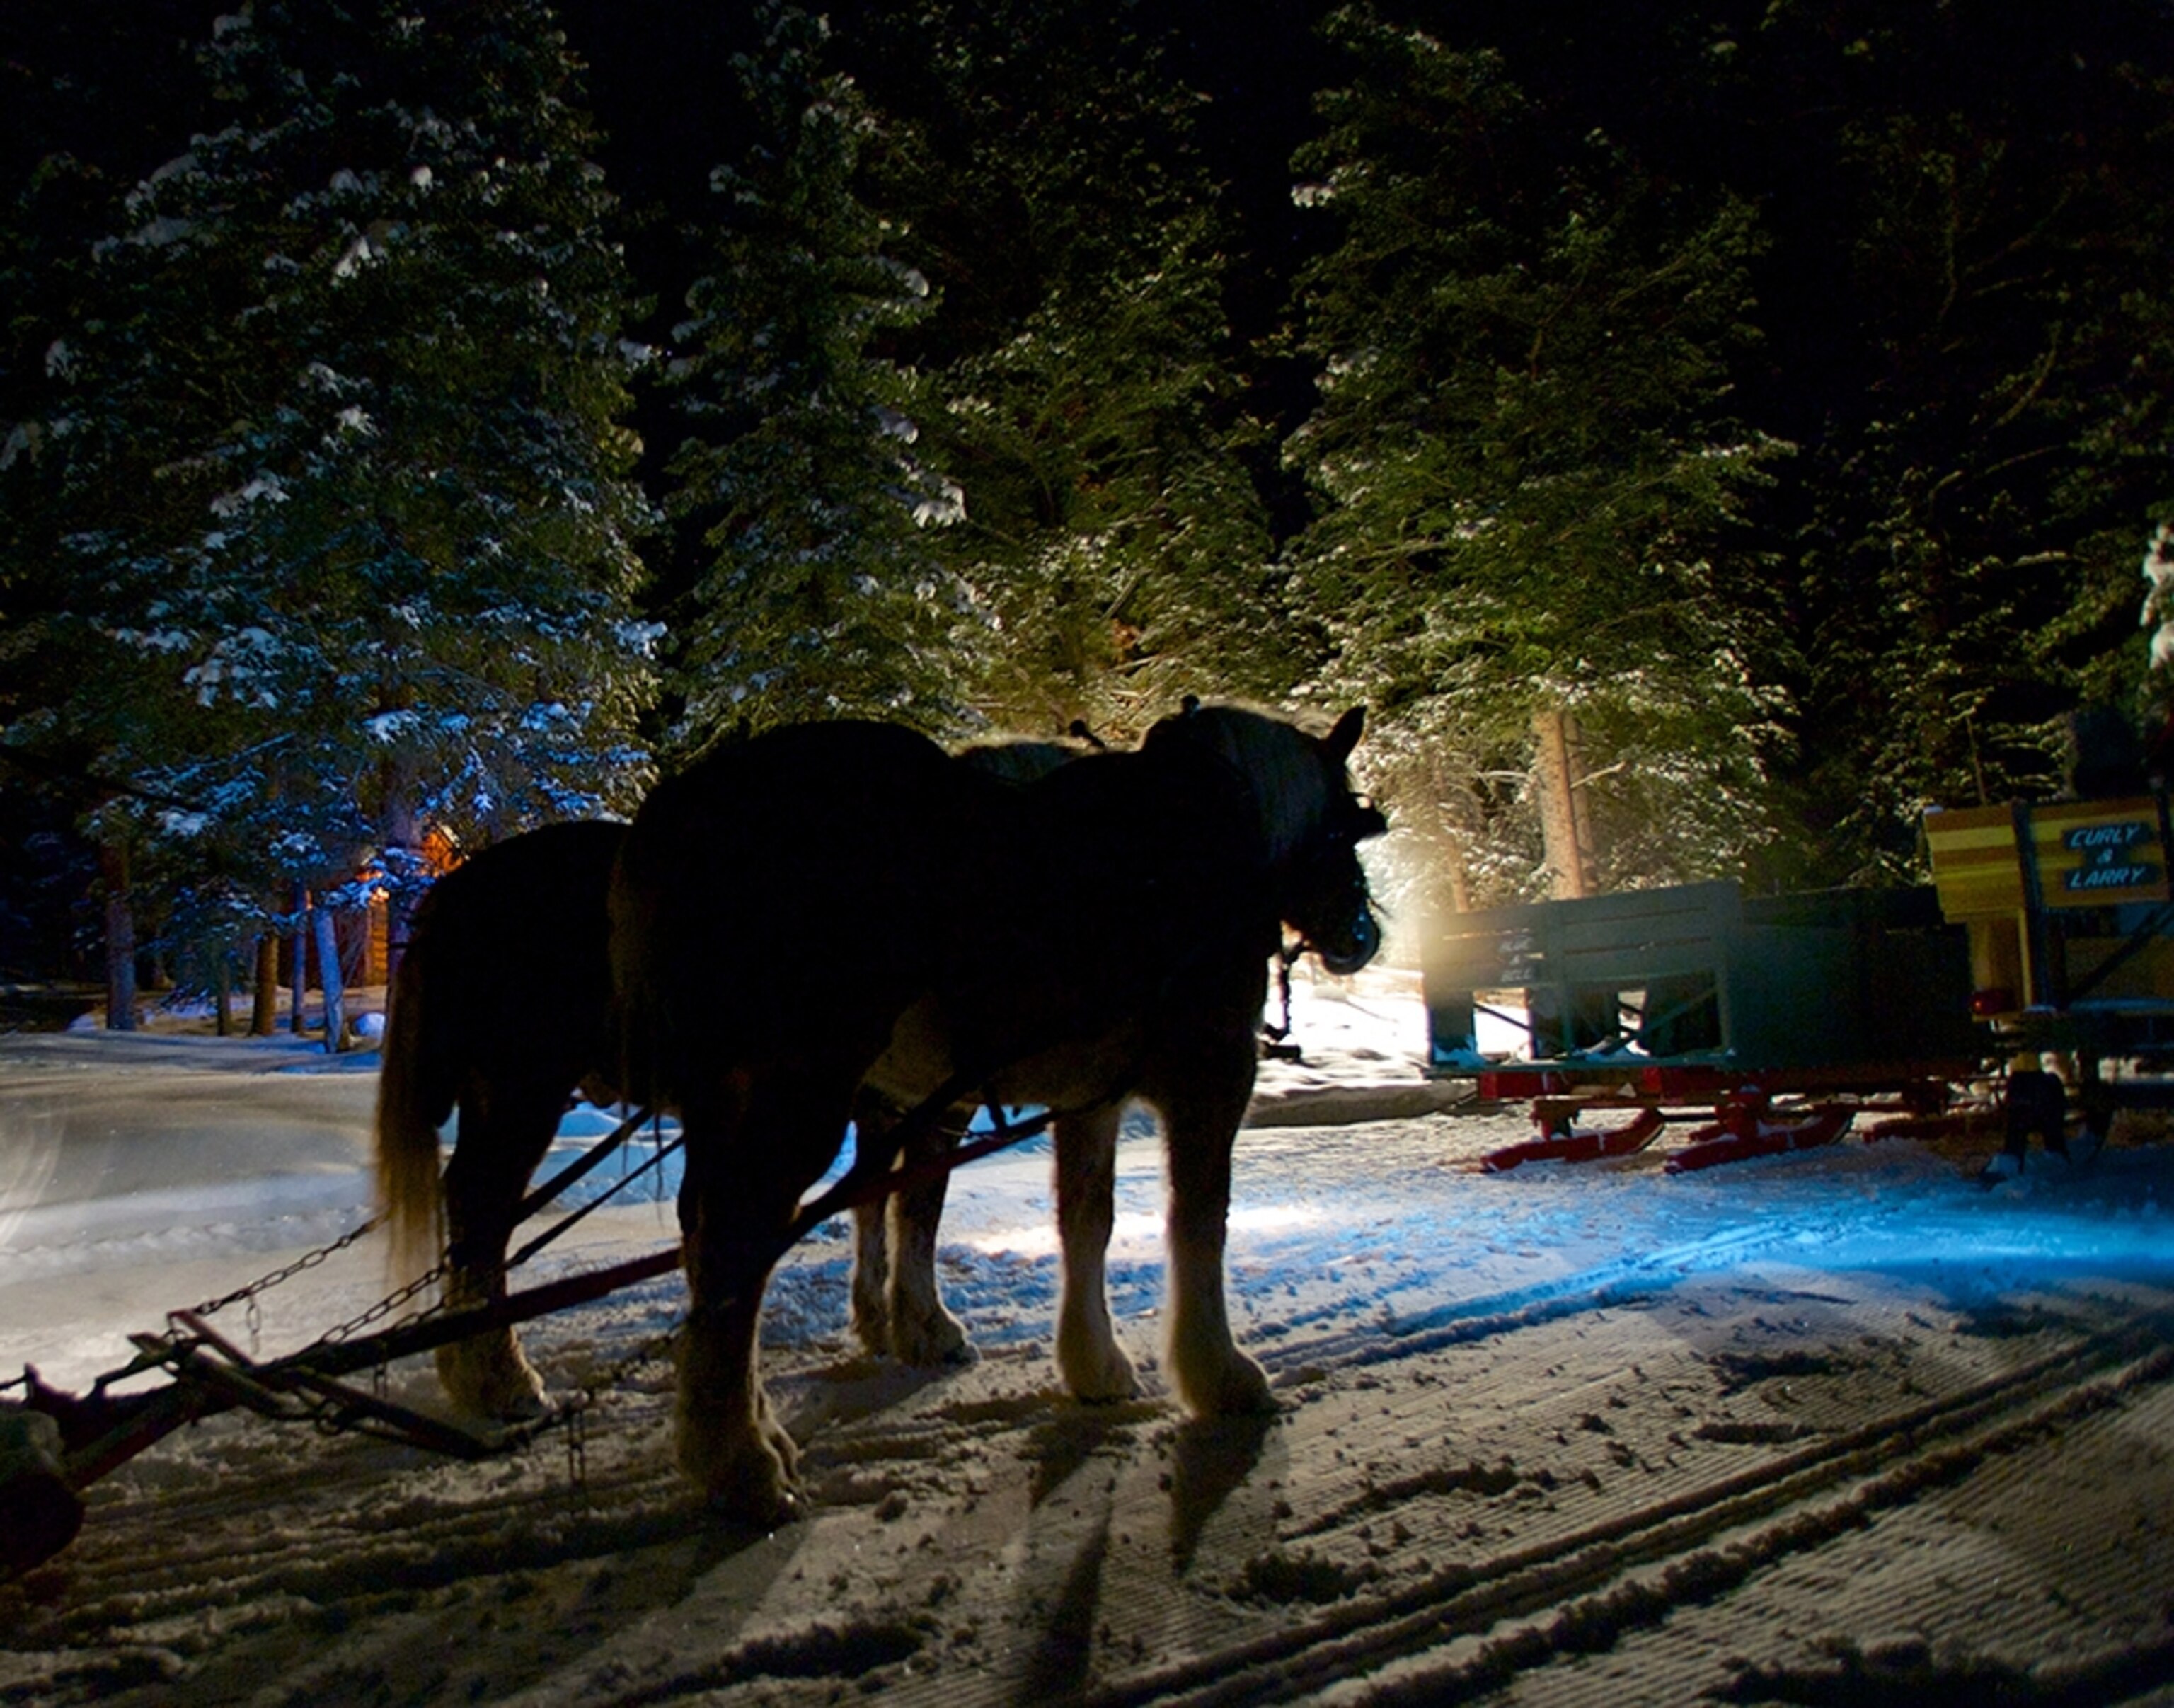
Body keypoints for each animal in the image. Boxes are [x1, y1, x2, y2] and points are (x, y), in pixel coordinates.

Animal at [610, 702, 1383, 1522]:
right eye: (1349, 824)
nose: (1363, 935)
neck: (1213, 835)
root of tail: (688, 803)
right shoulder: (1212, 1074)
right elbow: (1201, 1222)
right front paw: (1221, 1373)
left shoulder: (1089, 1098)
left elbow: (1087, 1220)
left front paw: (1094, 1362)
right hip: (801, 1091)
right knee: (738, 1242)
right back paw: (744, 1466)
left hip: (735, 1099)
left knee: (713, 1242)